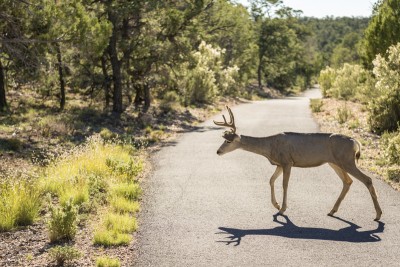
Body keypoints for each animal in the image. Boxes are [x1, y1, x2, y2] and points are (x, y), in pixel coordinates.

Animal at [214, 105, 382, 221]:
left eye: (228, 141)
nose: (218, 151)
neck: (270, 146)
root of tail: (355, 142)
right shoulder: (279, 164)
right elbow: (271, 180)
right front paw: (276, 205)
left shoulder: (287, 161)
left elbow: (284, 184)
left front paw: (282, 209)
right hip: (335, 163)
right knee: (348, 181)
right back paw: (332, 211)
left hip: (347, 161)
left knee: (367, 179)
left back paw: (378, 215)